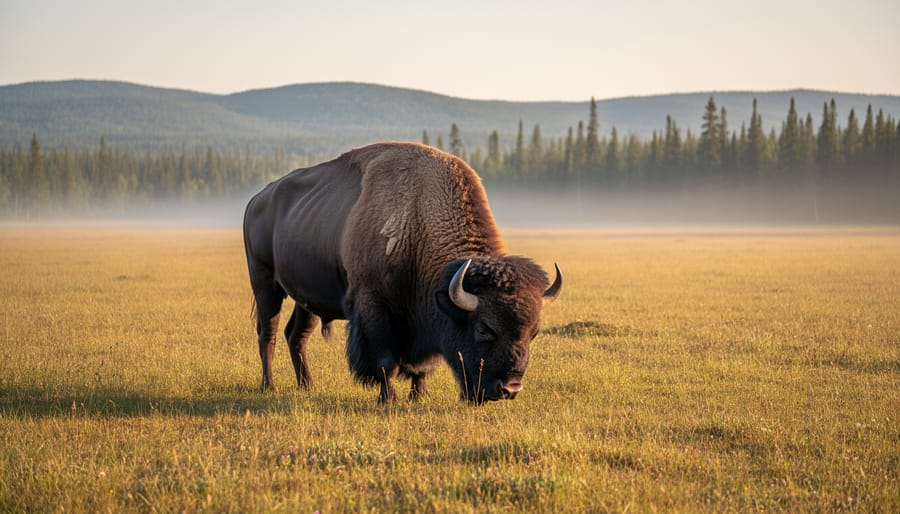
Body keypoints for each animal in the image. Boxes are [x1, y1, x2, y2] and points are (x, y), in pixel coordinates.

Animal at [243, 142, 561, 403]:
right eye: (484, 328)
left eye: (533, 332)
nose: (509, 389)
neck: (418, 219)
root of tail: (256, 200)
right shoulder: (374, 307)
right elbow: (386, 360)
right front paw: (389, 399)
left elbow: (422, 365)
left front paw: (418, 395)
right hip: (265, 284)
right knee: (268, 333)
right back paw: (269, 386)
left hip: (305, 298)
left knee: (296, 335)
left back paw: (307, 386)